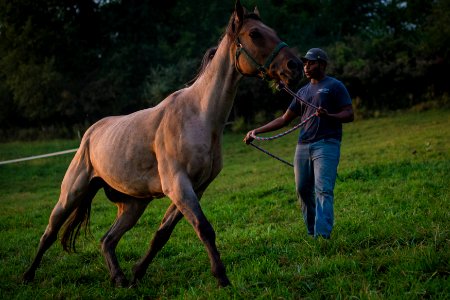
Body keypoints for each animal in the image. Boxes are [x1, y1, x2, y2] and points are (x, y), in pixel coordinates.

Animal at [22, 0, 302, 288]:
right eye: (255, 34)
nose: (294, 65)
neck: (199, 116)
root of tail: (90, 133)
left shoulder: (196, 188)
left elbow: (162, 235)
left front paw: (137, 274)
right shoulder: (179, 185)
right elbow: (204, 229)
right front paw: (222, 277)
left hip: (133, 205)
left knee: (107, 240)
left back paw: (119, 278)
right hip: (71, 194)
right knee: (49, 233)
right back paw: (27, 275)